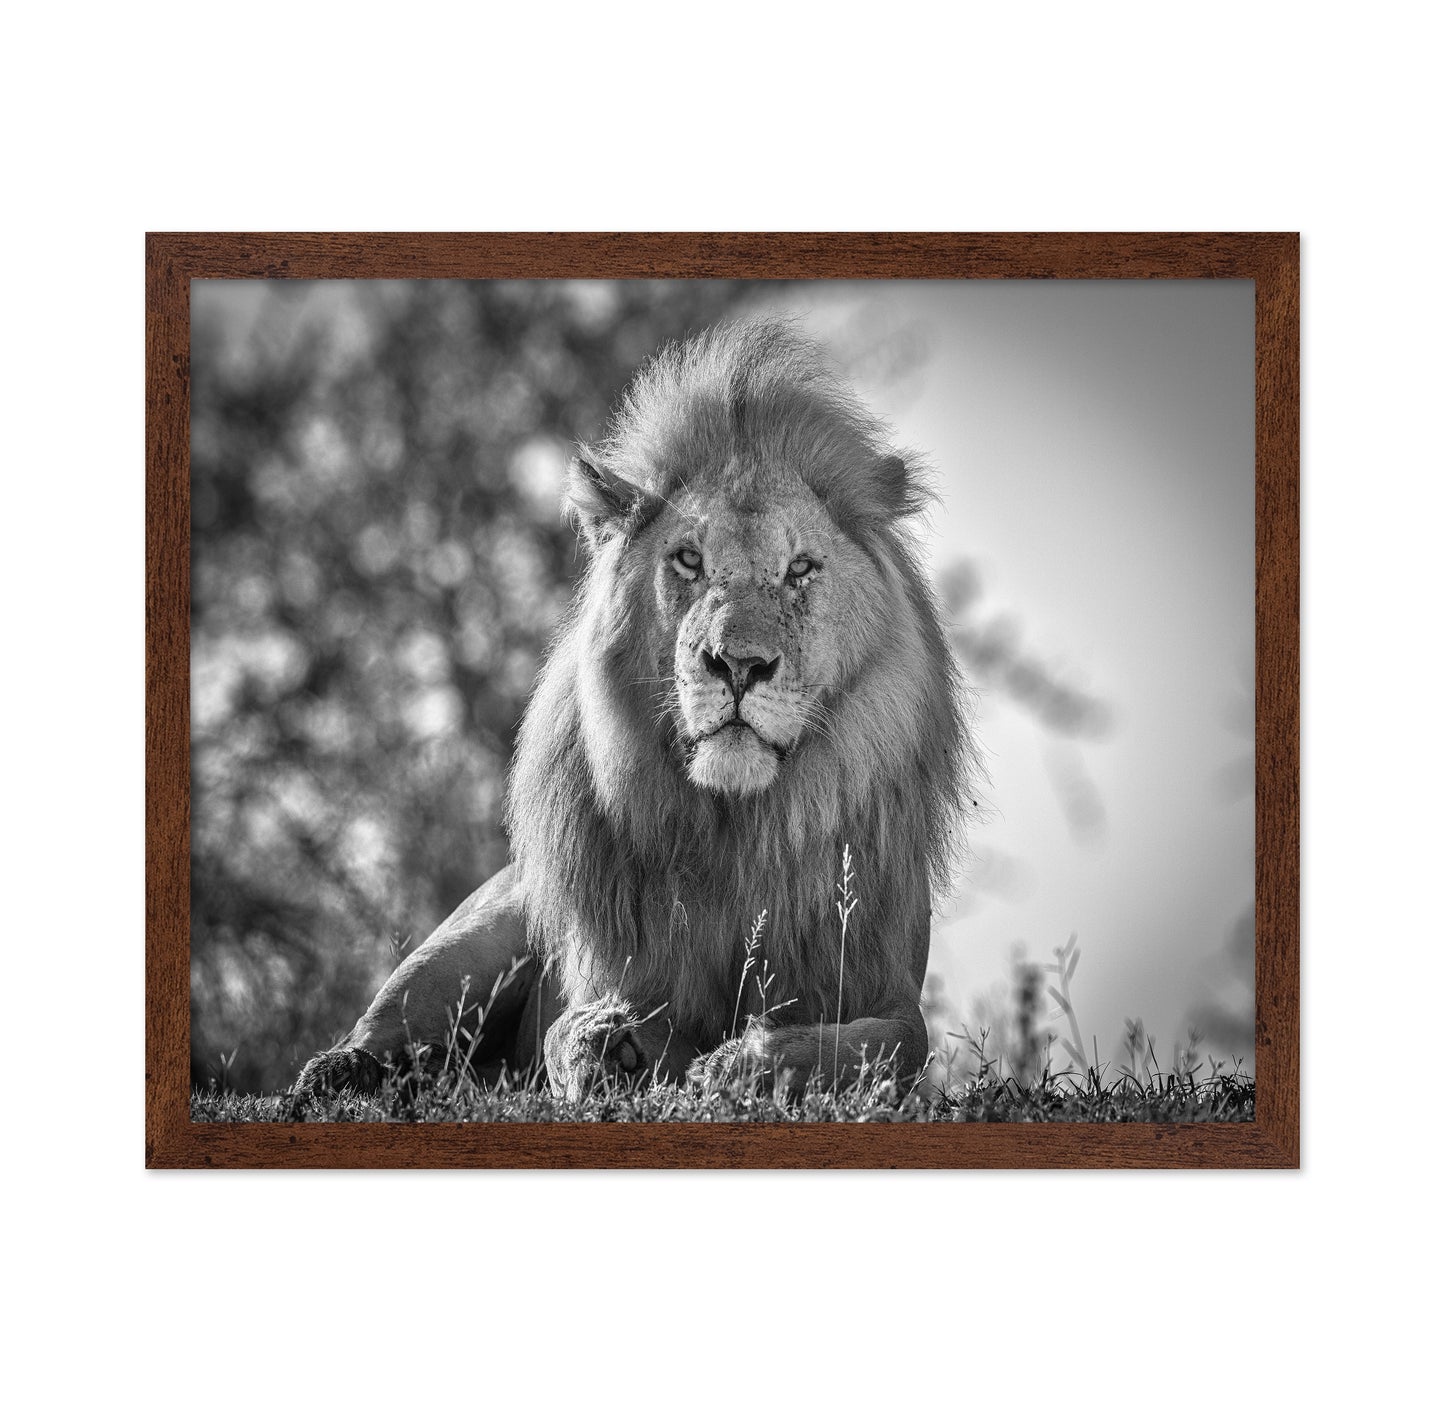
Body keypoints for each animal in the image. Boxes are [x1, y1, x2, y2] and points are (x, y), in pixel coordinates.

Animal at [294, 318, 973, 1102]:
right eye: (688, 561)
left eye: (800, 568)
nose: (739, 664)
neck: (740, 829)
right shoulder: (609, 972)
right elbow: (568, 1028)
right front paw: (611, 1045)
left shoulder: (885, 985)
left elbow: (886, 1045)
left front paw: (746, 1061)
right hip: (478, 933)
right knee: (390, 1029)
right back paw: (338, 1073)